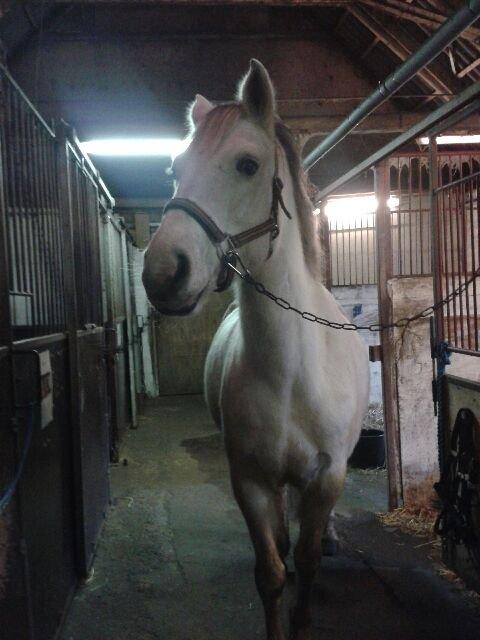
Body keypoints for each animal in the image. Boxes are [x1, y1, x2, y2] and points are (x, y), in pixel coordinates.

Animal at [142, 59, 369, 640]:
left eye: (247, 164)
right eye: (175, 168)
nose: (161, 274)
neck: (290, 372)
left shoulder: (326, 475)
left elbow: (307, 560)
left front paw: (305, 611)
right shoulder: (249, 481)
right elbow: (270, 571)